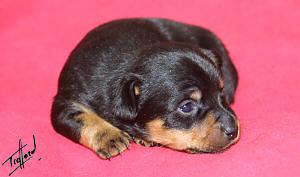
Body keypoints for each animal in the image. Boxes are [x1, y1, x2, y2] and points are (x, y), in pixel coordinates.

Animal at [51, 18, 239, 159]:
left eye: (221, 93)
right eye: (186, 107)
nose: (234, 130)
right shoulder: (66, 103)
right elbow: (81, 118)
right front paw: (110, 137)